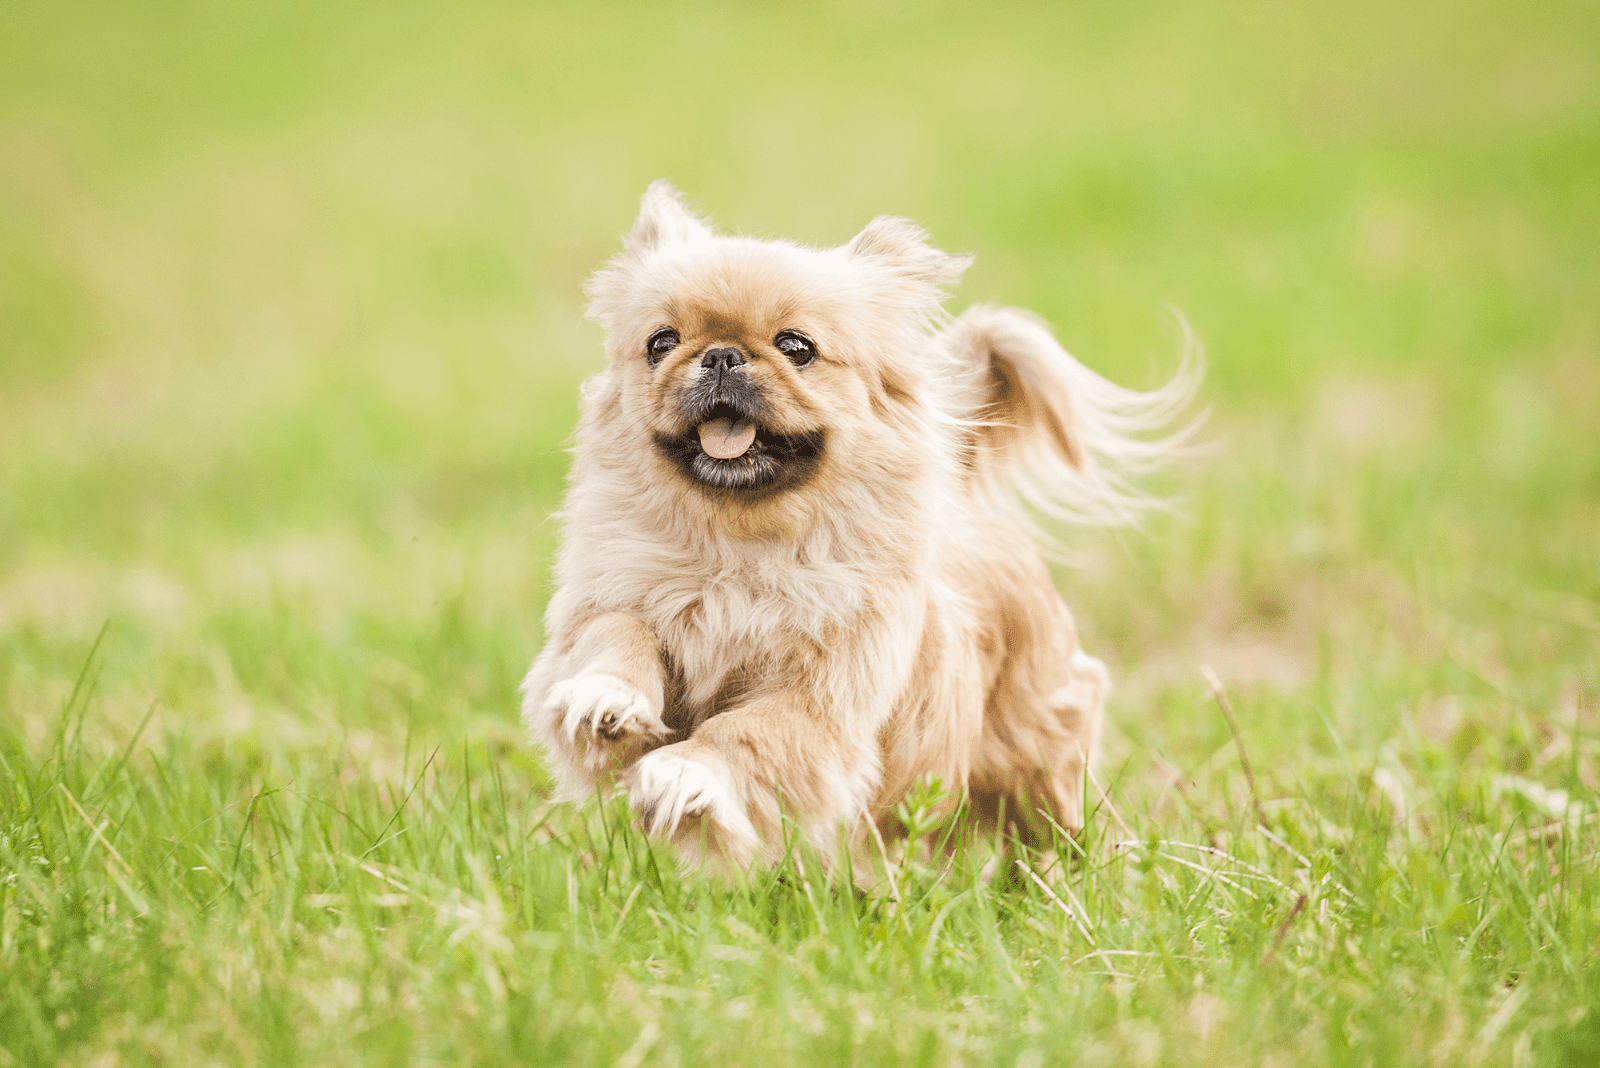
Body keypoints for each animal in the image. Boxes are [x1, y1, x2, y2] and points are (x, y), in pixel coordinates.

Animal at [524, 181, 1203, 869]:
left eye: (796, 347)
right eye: (661, 343)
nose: (721, 354)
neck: (736, 553)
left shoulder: (821, 699)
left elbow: (743, 732)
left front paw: (686, 772)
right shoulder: (613, 601)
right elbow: (615, 637)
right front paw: (607, 697)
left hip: (1037, 751)